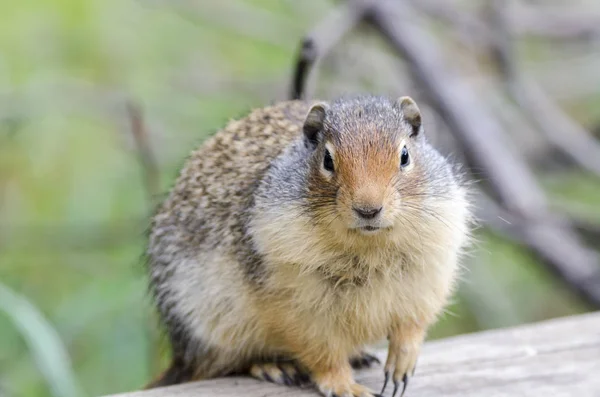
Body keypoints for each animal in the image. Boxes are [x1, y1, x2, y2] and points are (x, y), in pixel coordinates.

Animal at [146, 94, 474, 394]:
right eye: (327, 159)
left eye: (405, 155)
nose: (368, 209)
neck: (369, 247)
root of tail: (182, 355)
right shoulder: (297, 304)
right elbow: (322, 350)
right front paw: (344, 386)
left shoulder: (428, 277)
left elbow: (413, 325)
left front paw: (401, 363)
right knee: (225, 362)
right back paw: (273, 366)